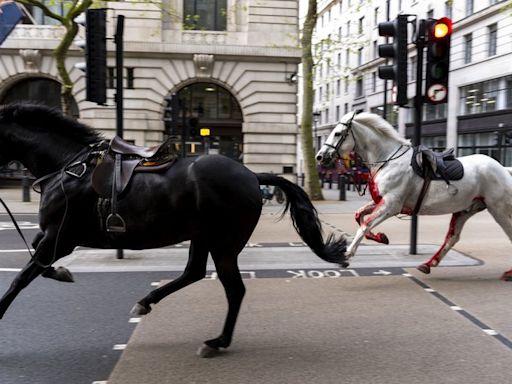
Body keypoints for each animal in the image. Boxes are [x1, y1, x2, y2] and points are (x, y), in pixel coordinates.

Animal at [0, 103, 348, 356]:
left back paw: (217, 342)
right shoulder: (53, 238)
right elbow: (36, 261)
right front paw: (61, 272)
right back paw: (148, 302)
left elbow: (22, 277)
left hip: (224, 243)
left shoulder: (60, 238)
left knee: (234, 289)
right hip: (203, 236)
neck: (68, 167)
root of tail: (251, 174)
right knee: (194, 272)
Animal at [316, 111, 512, 280]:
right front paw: (380, 237)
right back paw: (428, 264)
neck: (388, 160)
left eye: (337, 133)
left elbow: (365, 224)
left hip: (498, 209)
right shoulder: (382, 201)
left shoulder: (392, 205)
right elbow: (359, 216)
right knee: (452, 237)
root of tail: (503, 169)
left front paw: (347, 254)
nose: (320, 156)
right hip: (466, 209)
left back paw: (508, 273)